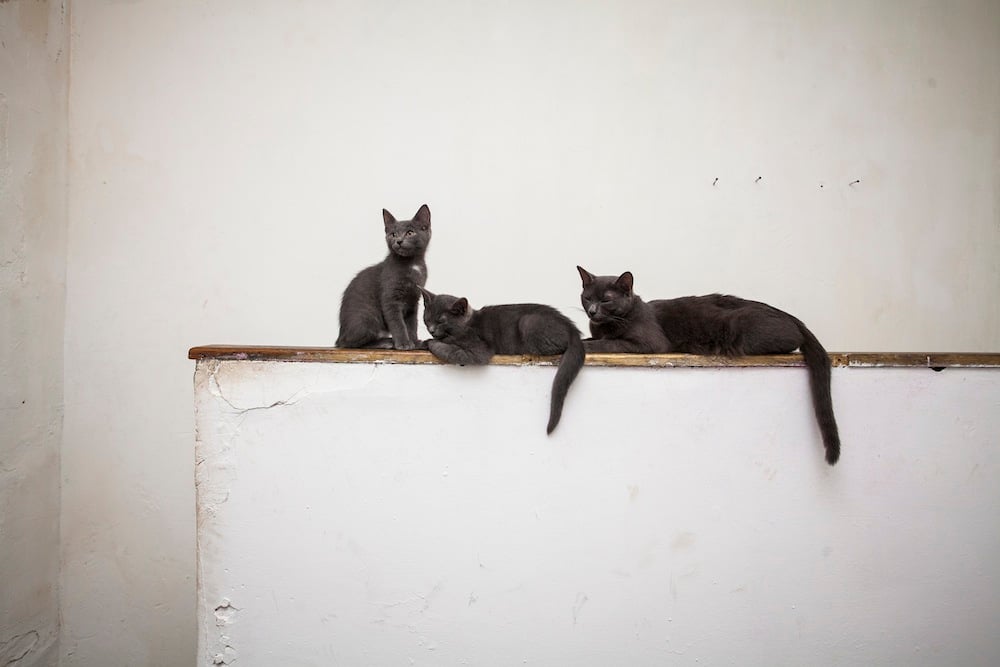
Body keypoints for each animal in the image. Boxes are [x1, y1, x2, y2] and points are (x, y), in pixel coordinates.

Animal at [336, 204, 430, 350]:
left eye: (410, 233)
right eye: (393, 234)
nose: (399, 241)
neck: (412, 264)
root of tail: (340, 335)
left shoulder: (413, 300)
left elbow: (412, 324)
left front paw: (414, 342)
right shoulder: (390, 298)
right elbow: (397, 323)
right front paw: (403, 343)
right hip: (367, 317)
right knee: (350, 343)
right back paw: (385, 342)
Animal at [416, 288, 584, 436]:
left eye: (441, 321)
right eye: (427, 318)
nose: (431, 330)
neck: (466, 325)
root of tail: (573, 330)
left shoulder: (478, 350)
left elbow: (450, 350)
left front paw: (430, 342)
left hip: (529, 322)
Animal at [576, 266, 840, 464]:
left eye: (606, 300)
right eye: (587, 297)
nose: (592, 311)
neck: (605, 325)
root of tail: (790, 316)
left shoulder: (649, 343)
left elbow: (610, 343)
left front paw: (590, 344)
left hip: (740, 327)